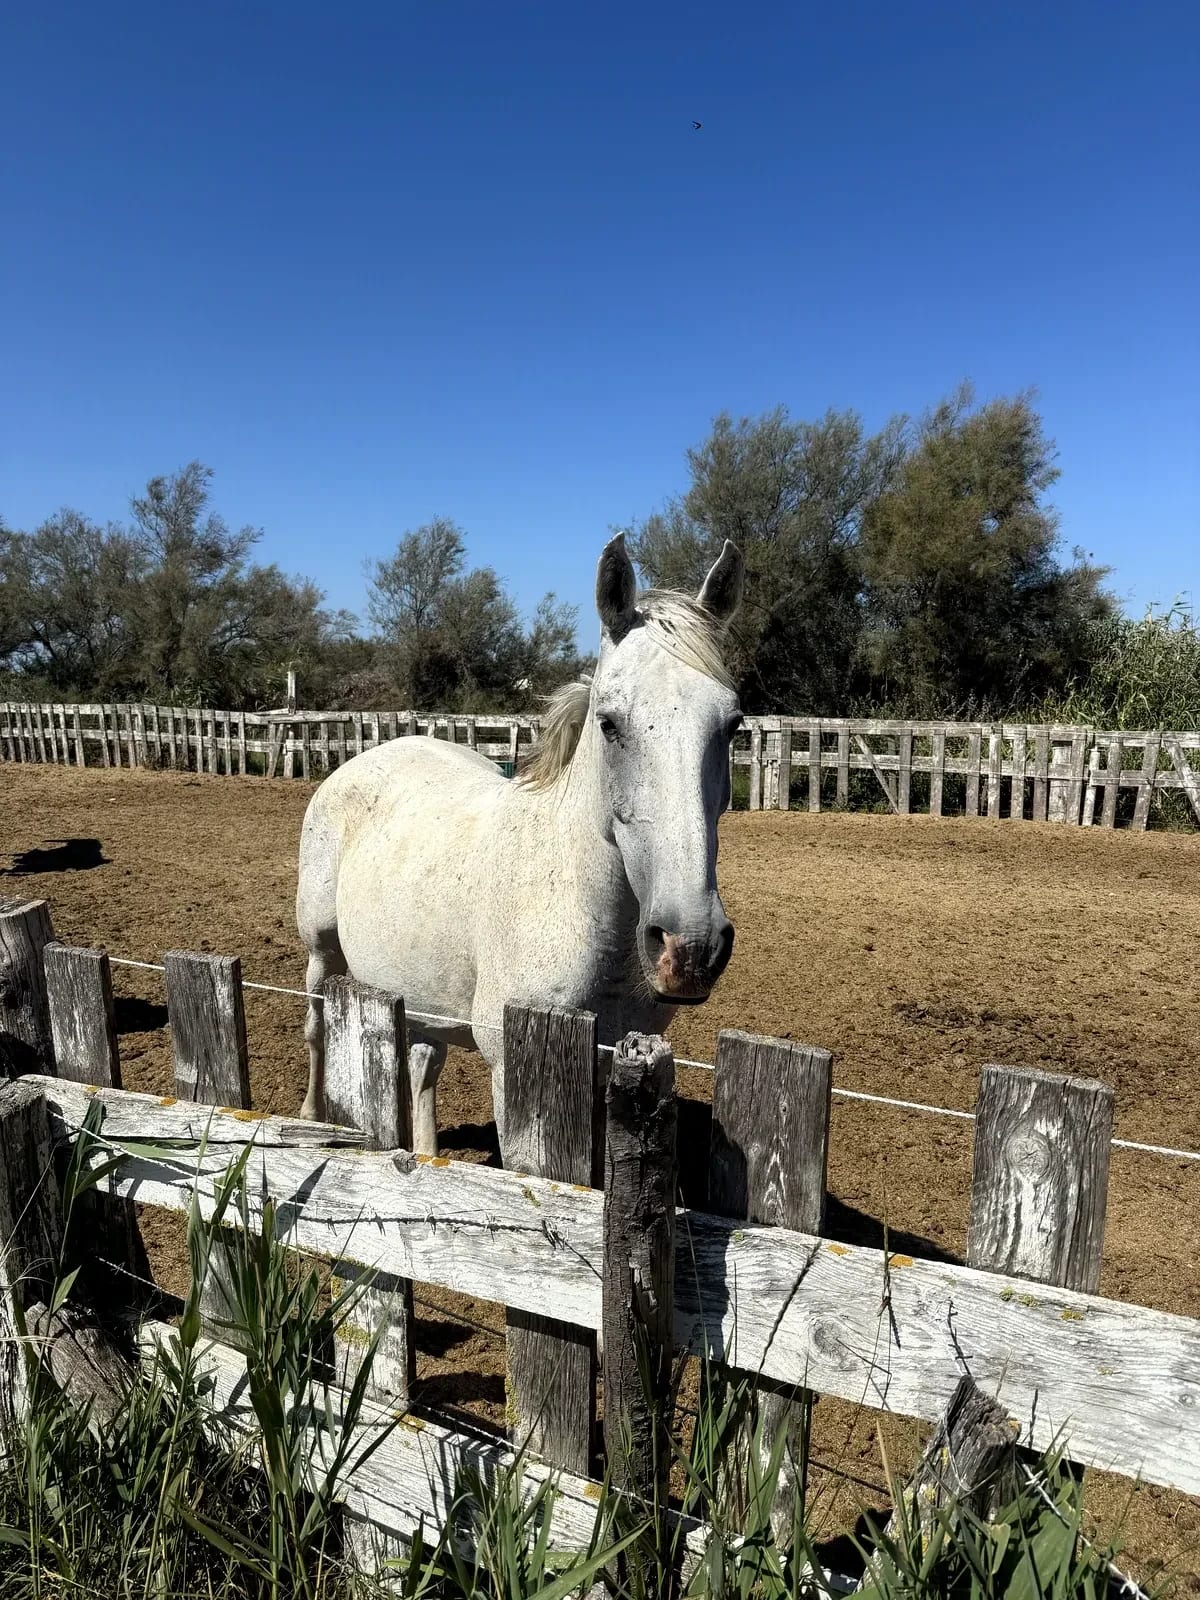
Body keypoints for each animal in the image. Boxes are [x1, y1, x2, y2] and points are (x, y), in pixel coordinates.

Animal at [296, 532, 743, 1164]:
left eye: (733, 724)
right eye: (609, 723)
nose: (691, 947)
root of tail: (363, 760)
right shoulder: (515, 1075)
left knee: (423, 1063)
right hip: (321, 948)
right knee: (316, 1026)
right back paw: (310, 1117)